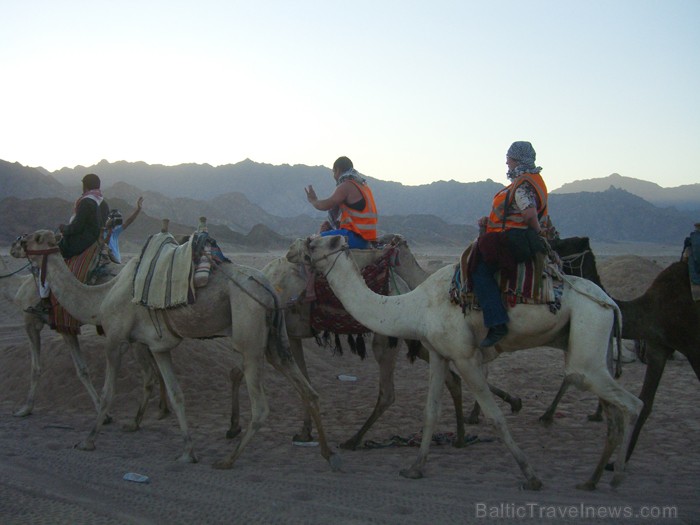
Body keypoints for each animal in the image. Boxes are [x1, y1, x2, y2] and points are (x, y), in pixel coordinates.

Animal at [288, 235, 644, 490]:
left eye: (313, 241)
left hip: (588, 334)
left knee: (629, 402)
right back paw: (592, 480)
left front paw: (530, 476)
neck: (414, 306)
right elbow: (431, 412)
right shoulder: (438, 353)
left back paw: (617, 476)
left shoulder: (465, 356)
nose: (291, 252)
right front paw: (415, 468)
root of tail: (610, 303)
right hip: (592, 346)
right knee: (613, 412)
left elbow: (495, 416)